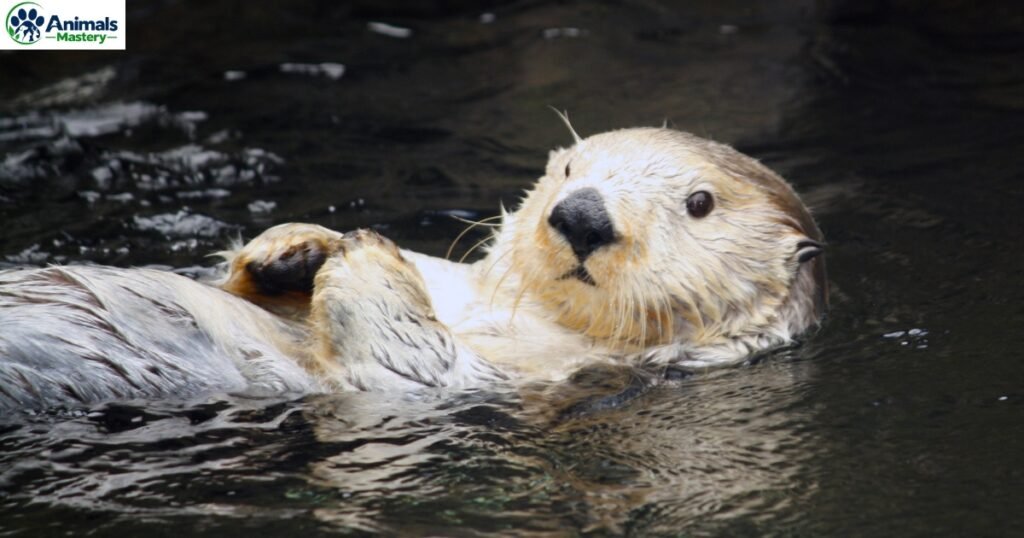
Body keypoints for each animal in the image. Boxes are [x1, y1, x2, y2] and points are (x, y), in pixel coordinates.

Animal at [0, 127, 826, 409]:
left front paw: (363, 256)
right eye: (569, 169)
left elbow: (404, 361)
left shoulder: (508, 378)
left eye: (699, 202)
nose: (583, 214)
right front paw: (295, 245)